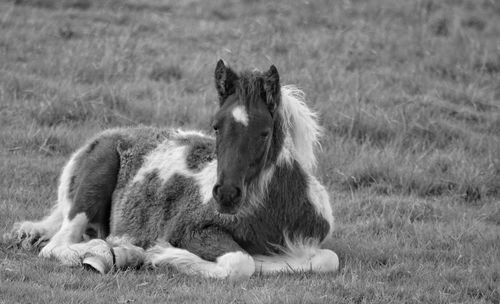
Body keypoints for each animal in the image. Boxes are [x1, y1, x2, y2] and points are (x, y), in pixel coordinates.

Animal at [5, 60, 338, 282]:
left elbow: (327, 259)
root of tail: (98, 140)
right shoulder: (190, 230)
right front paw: (160, 255)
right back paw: (112, 251)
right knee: (56, 245)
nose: (226, 195)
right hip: (89, 190)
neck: (267, 215)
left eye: (265, 133)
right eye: (216, 126)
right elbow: (240, 263)